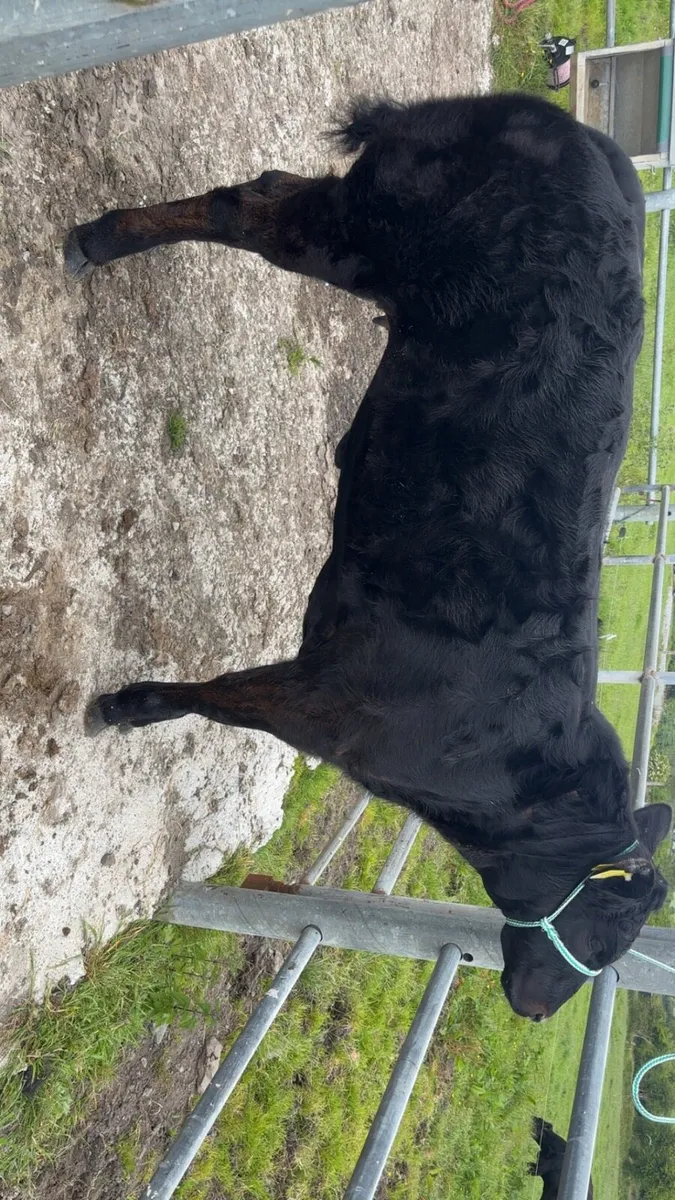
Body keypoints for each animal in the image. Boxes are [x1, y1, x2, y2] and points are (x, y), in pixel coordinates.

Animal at [65, 93, 671, 1019]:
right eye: (608, 933)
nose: (534, 1009)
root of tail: (565, 125)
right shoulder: (326, 705)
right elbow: (218, 697)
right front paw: (125, 705)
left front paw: (133, 706)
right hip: (357, 230)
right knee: (244, 209)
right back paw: (98, 239)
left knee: (265, 189)